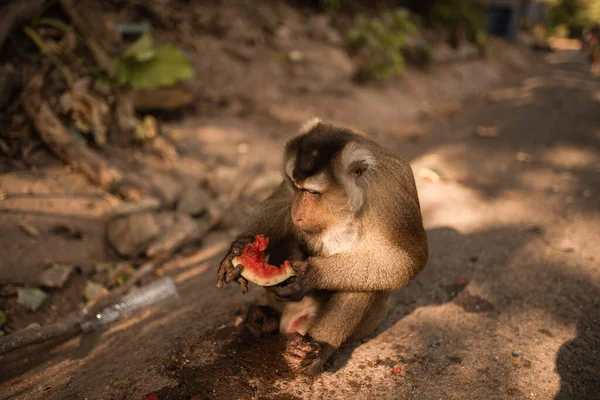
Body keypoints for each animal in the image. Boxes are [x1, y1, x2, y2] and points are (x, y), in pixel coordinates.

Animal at [216, 118, 426, 376]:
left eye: (312, 191)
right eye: (296, 187)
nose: (298, 214)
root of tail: (292, 321)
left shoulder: (391, 197)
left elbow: (406, 261)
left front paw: (310, 275)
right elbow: (281, 200)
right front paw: (239, 247)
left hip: (369, 322)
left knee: (365, 282)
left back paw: (312, 353)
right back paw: (267, 316)